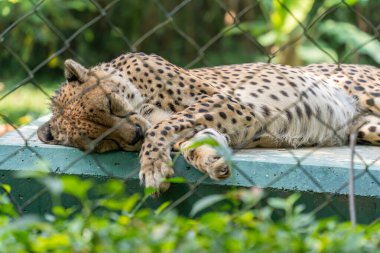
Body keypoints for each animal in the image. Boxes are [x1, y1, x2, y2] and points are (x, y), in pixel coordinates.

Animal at [36, 52, 380, 192]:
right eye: (103, 142)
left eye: (109, 104)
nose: (133, 136)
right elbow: (185, 139)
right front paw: (210, 158)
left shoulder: (232, 103)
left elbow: (162, 127)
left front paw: (151, 168)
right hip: (366, 127)